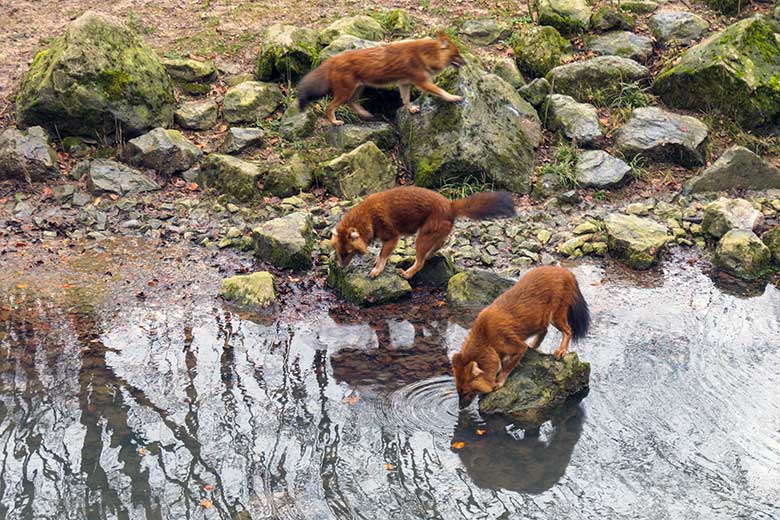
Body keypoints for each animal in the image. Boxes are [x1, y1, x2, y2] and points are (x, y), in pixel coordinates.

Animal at [292, 32, 464, 126]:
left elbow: (405, 100)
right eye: (457, 55)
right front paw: (454, 97)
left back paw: (367, 114)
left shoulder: (404, 84)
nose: (465, 62)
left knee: (352, 103)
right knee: (330, 107)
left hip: (358, 88)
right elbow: (440, 91)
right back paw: (335, 122)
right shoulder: (422, 82)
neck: (425, 55)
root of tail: (334, 59)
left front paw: (411, 109)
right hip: (345, 92)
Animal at [332, 185, 516, 278]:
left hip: (422, 236)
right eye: (339, 252)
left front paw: (376, 270)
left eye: (348, 252)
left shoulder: (392, 237)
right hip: (432, 233)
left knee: (420, 262)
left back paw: (407, 273)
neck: (368, 217)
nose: (340, 267)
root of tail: (450, 205)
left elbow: (383, 255)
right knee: (438, 246)